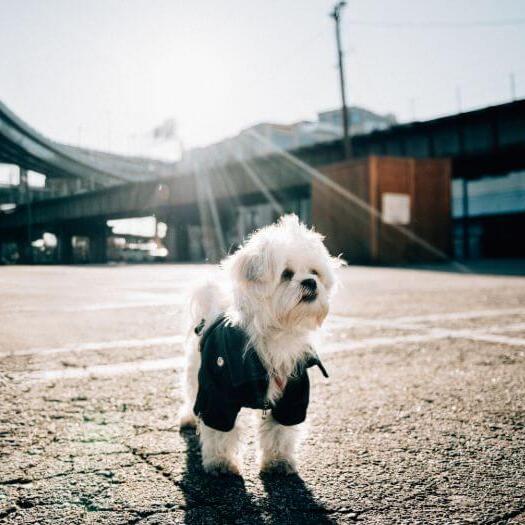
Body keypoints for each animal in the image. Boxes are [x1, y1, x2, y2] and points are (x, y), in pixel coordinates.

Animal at [178, 213, 338, 474]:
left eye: (314, 272)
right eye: (286, 274)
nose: (311, 282)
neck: (275, 332)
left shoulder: (292, 394)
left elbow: (280, 430)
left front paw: (279, 461)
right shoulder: (217, 392)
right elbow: (219, 429)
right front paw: (221, 463)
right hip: (197, 371)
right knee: (192, 393)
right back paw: (189, 418)